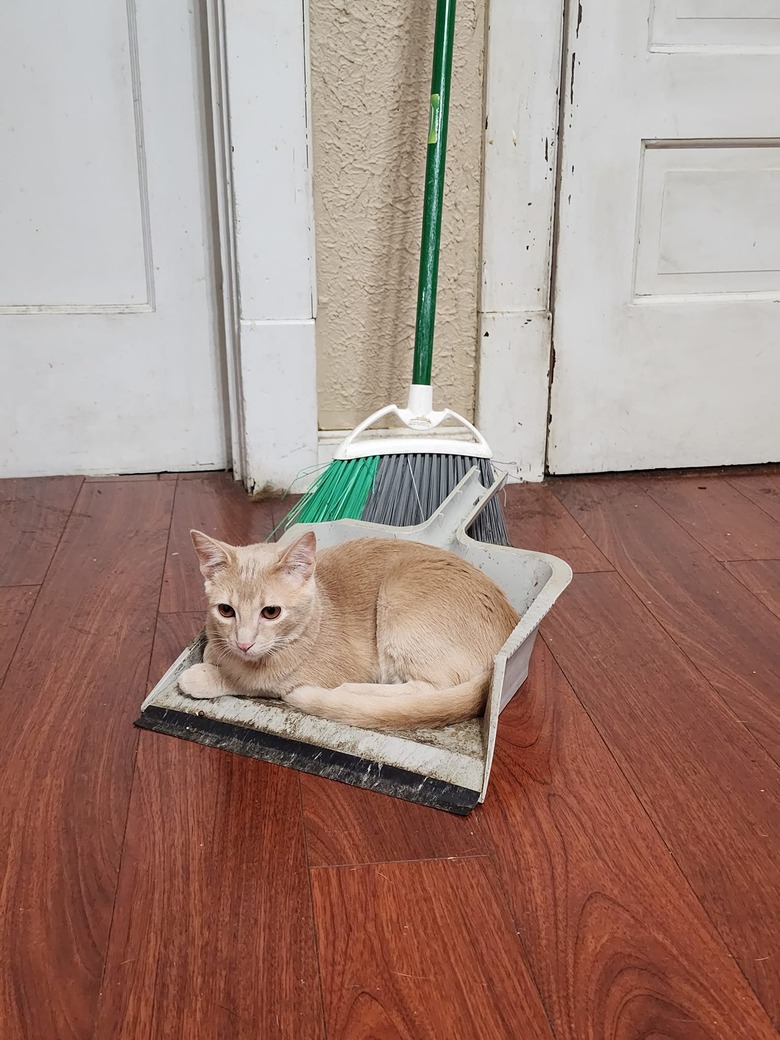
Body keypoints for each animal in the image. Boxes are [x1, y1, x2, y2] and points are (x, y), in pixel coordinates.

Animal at [176, 528, 520, 732]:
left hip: (398, 599)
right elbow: (215, 649)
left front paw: (206, 675)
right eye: (226, 611)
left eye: (271, 612)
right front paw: (216, 652)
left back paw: (351, 692)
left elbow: (253, 680)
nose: (244, 643)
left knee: (426, 692)